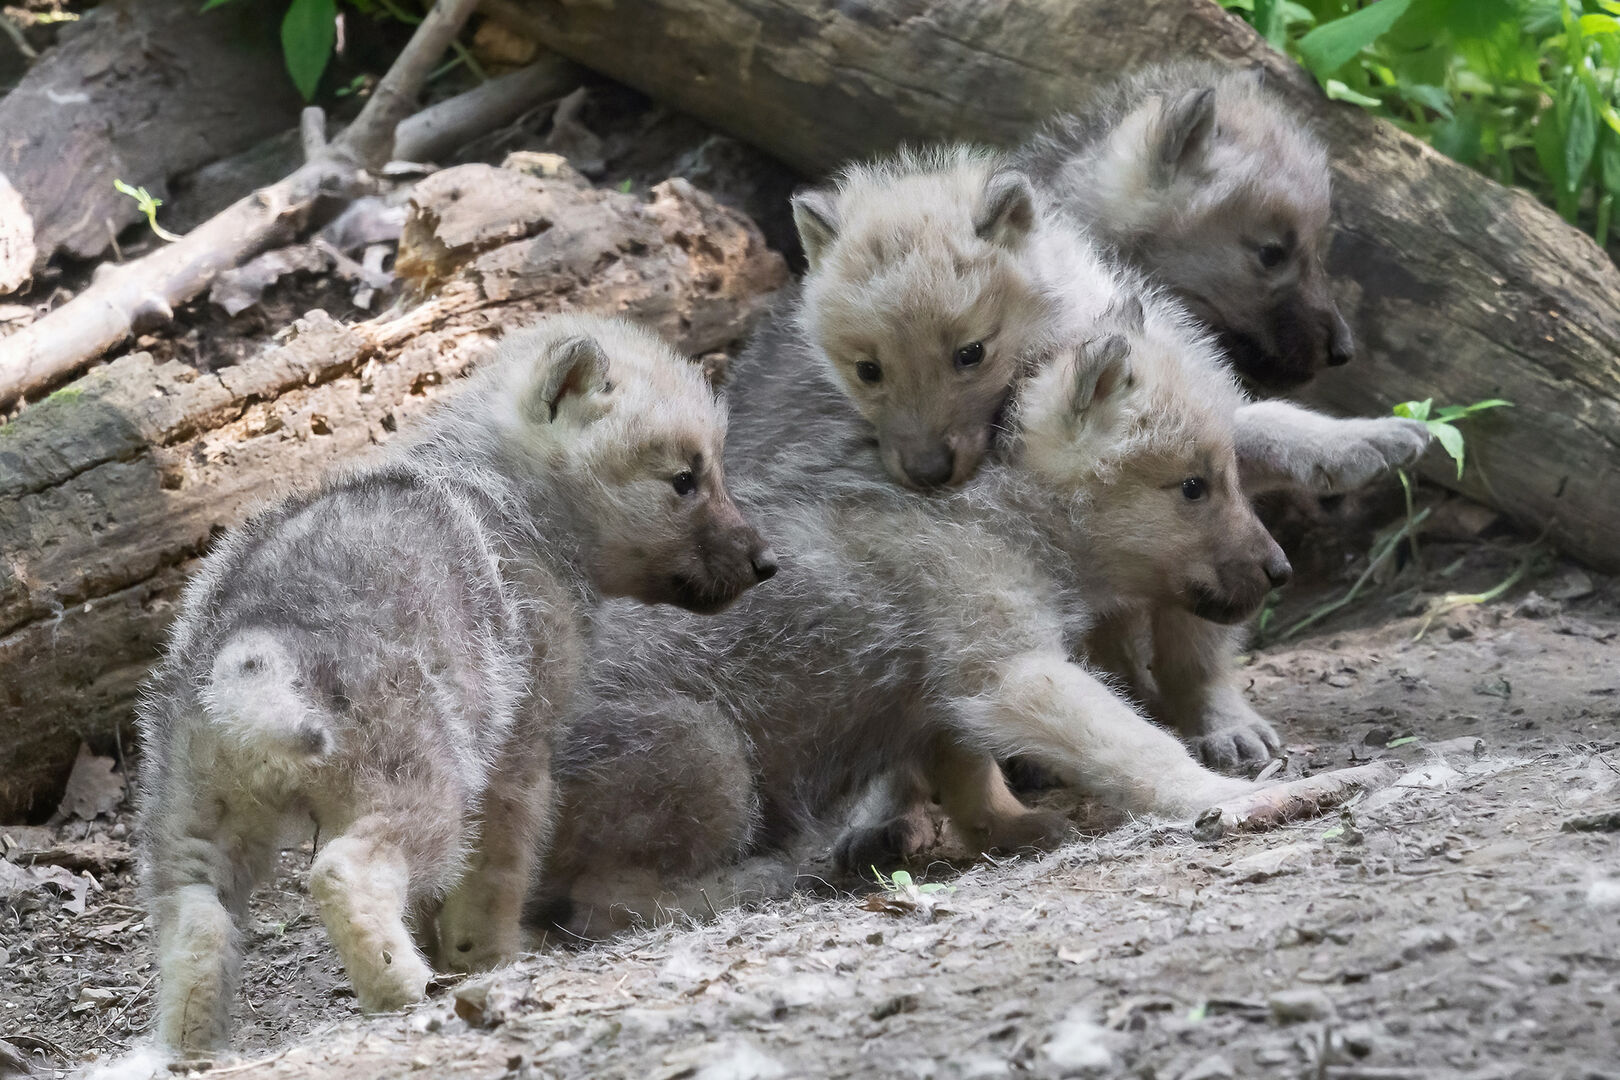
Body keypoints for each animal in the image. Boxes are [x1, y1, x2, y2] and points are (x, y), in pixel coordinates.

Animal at [136, 315, 774, 1053]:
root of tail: (252, 652)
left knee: (196, 922)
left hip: (193, 817)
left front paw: (444, 950)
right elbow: (496, 878)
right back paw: (401, 986)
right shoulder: (515, 757)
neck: (509, 497)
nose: (767, 562)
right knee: (344, 872)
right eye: (684, 479)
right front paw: (486, 960)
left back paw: (190, 1048)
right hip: (419, 784)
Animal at [537, 264, 1291, 936]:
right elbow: (1139, 745)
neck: (1007, 506)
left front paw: (1009, 828)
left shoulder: (940, 690)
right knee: (602, 905)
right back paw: (749, 882)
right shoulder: (1013, 670)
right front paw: (1227, 795)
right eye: (1194, 486)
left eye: (1229, 474)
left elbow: (969, 776)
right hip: (708, 747)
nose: (1281, 570)